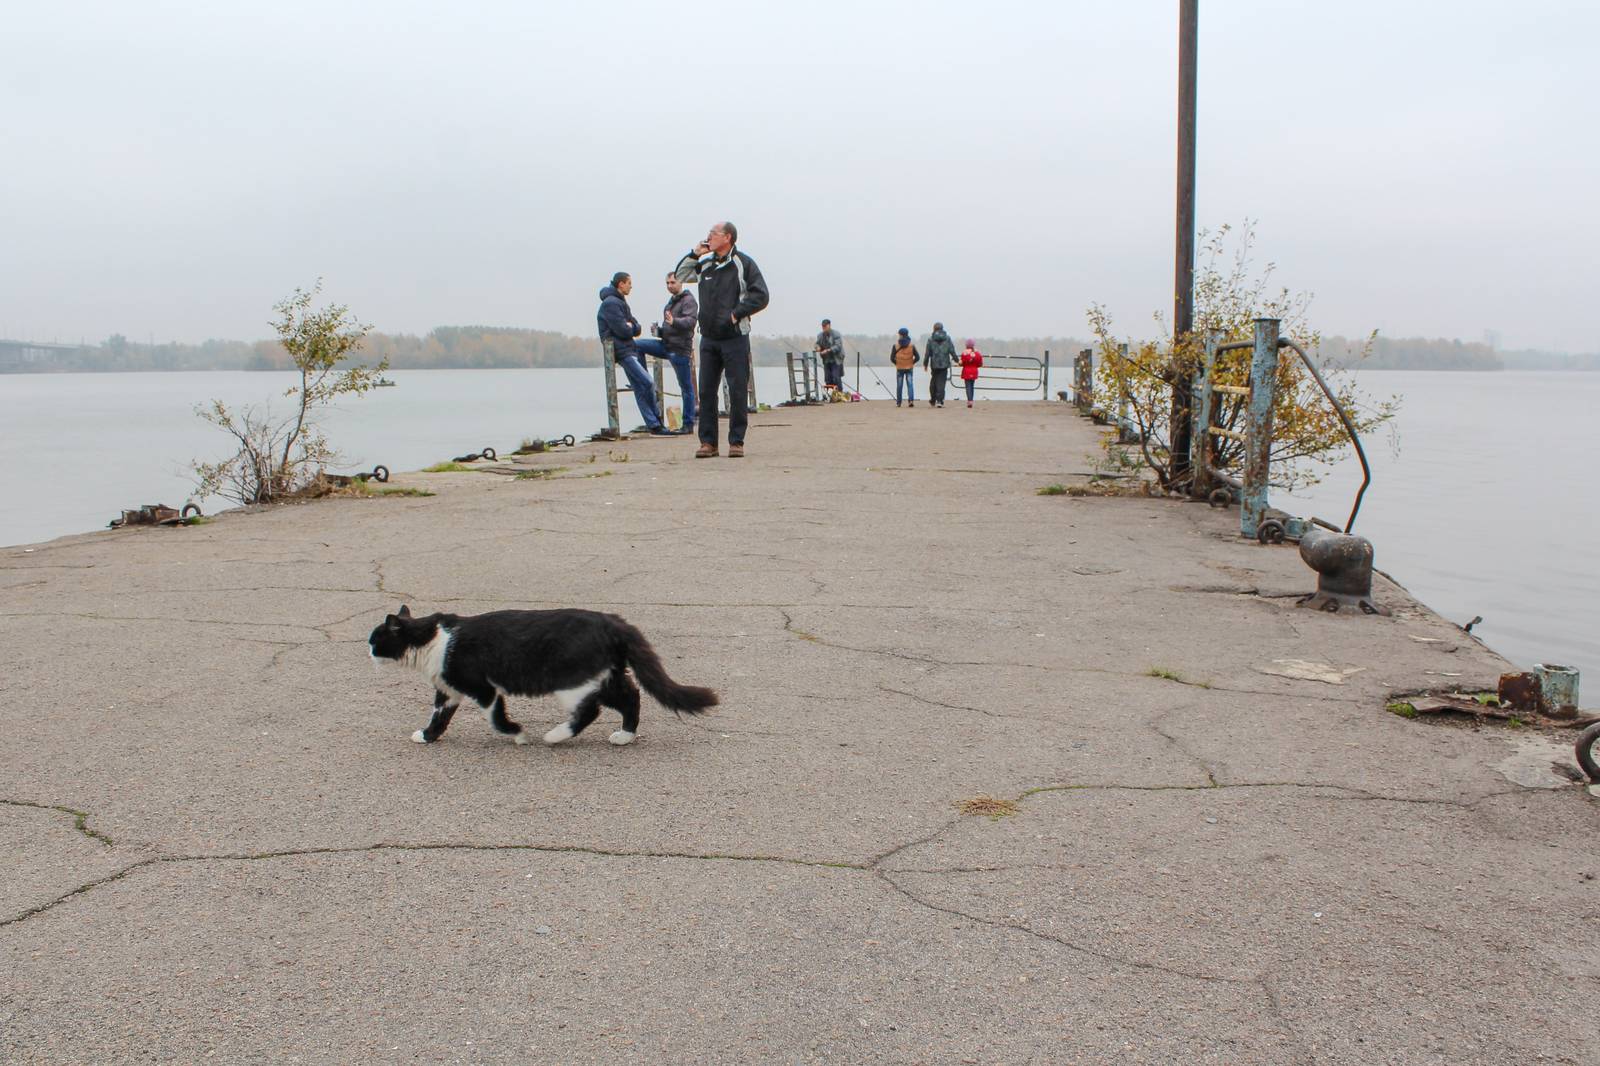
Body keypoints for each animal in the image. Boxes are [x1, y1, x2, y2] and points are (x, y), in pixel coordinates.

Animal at [368, 601, 720, 742]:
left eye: (375, 639)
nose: (367, 651)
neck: (432, 639)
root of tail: (614, 622)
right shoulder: (448, 690)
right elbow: (438, 717)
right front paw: (427, 736)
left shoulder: (483, 689)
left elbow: (496, 718)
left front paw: (518, 734)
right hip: (605, 674)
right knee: (631, 696)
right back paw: (625, 736)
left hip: (571, 681)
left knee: (589, 711)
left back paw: (555, 736)